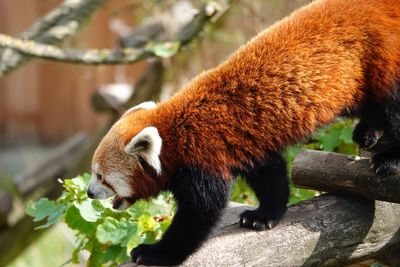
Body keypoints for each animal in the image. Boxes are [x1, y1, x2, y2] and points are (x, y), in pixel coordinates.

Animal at [88, 0, 400, 266]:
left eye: (101, 177)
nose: (90, 193)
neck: (175, 134)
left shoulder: (204, 156)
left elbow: (200, 213)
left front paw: (155, 252)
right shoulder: (247, 143)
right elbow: (270, 177)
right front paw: (264, 215)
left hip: (384, 58)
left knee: (392, 106)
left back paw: (389, 158)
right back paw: (368, 130)